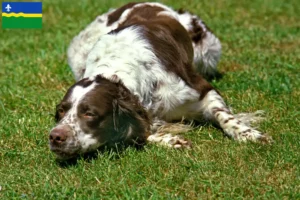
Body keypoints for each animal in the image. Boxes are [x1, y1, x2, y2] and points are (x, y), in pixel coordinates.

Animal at [48, 1, 270, 159]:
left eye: (90, 113)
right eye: (61, 110)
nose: (55, 136)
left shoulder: (201, 89)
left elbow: (223, 115)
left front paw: (248, 134)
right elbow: (142, 132)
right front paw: (172, 140)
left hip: (208, 48)